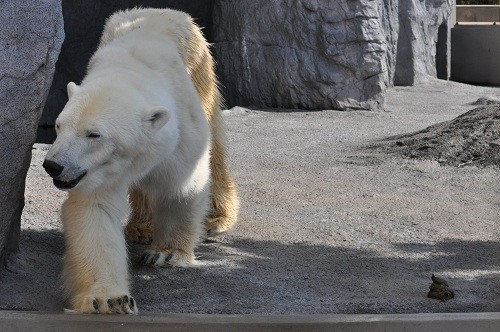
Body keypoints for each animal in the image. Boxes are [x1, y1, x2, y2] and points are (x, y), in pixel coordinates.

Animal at [42, 7, 239, 314]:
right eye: (59, 126)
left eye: (94, 134)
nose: (53, 165)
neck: (131, 68)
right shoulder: (99, 172)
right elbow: (96, 210)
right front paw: (109, 299)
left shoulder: (181, 131)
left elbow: (182, 186)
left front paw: (166, 254)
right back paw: (141, 228)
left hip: (201, 70)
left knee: (215, 147)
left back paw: (216, 218)